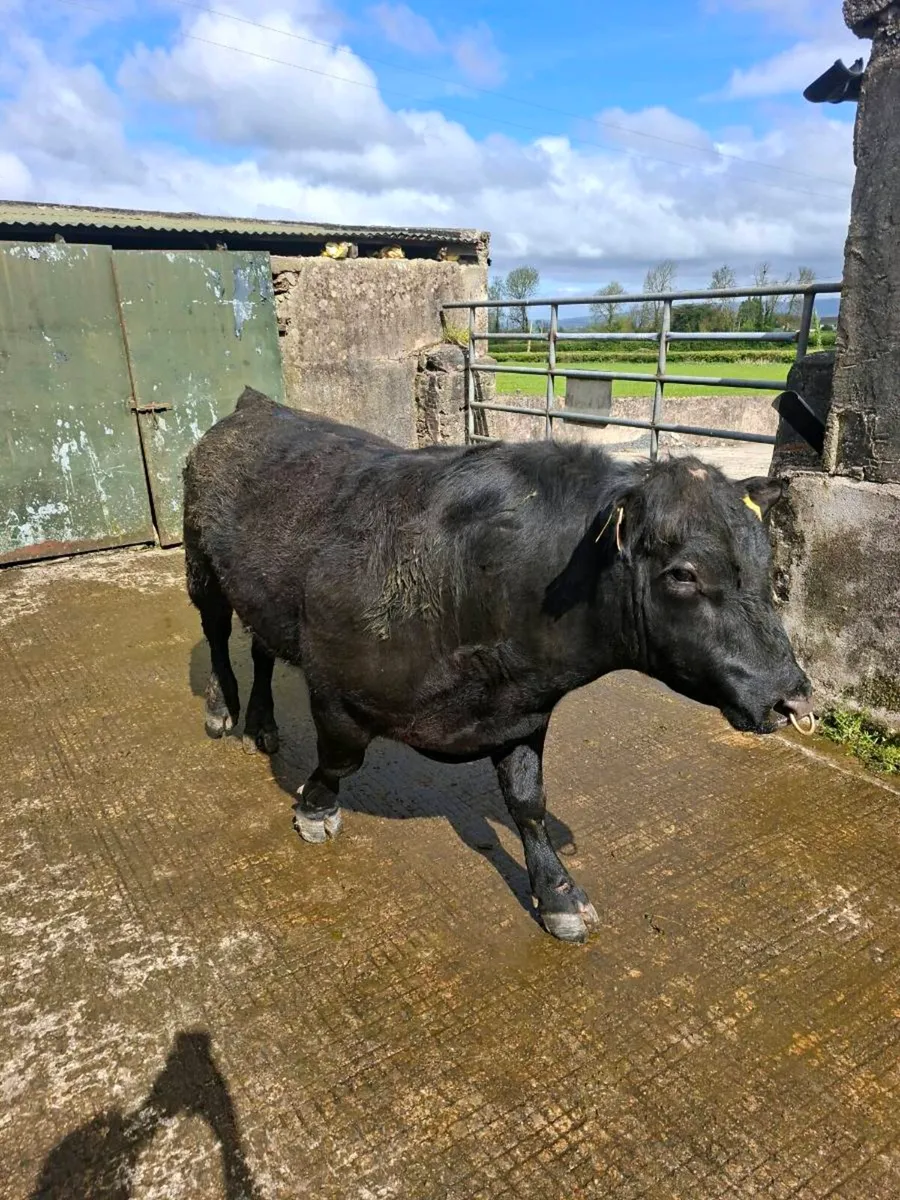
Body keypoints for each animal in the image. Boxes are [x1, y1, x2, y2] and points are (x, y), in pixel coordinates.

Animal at [182, 387, 814, 943]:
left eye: (766, 564)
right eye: (683, 574)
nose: (792, 696)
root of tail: (258, 405)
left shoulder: (523, 714)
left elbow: (529, 805)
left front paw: (559, 895)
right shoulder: (338, 691)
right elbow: (341, 760)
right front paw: (314, 809)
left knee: (261, 648)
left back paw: (263, 723)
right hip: (201, 565)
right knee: (217, 634)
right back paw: (222, 710)